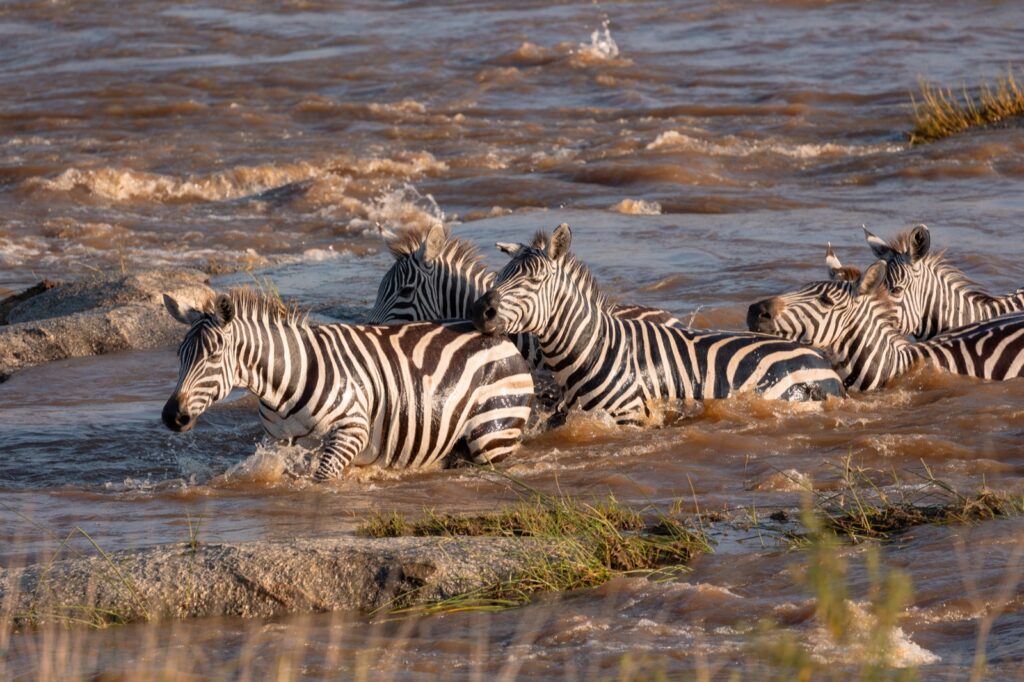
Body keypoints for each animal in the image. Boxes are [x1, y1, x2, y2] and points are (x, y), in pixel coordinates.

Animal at [161, 289, 534, 480]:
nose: (171, 416)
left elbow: (322, 478)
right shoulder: (282, 443)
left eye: (213, 355)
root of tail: (498, 335)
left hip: (492, 431)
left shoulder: (351, 430)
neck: (284, 384)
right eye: (180, 355)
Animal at [469, 223, 845, 425]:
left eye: (534, 281)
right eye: (500, 276)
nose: (479, 310)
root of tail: (820, 359)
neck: (592, 351)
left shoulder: (630, 418)